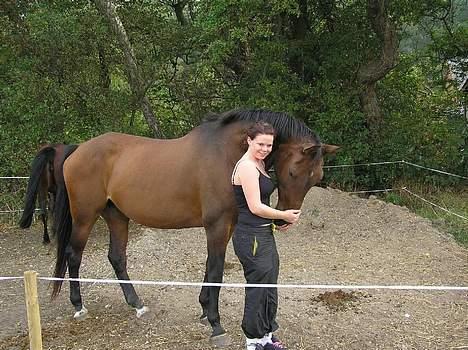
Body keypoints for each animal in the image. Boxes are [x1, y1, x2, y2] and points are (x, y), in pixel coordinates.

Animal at [51, 110, 338, 348]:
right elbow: (216, 270)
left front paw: (204, 309)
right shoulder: (217, 226)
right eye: (292, 173)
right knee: (73, 255)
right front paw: (216, 325)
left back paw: (137, 304)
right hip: (85, 217)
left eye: (317, 178)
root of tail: (78, 149)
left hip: (117, 216)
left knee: (117, 257)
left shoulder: (227, 225)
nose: (285, 220)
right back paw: (78, 306)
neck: (226, 155)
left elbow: (210, 267)